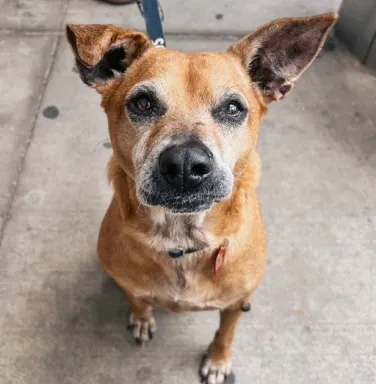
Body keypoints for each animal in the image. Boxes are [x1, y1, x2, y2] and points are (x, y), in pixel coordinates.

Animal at [67, 13, 338, 382]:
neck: (181, 238)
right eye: (142, 103)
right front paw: (141, 317)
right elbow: (137, 298)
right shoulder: (129, 282)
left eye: (233, 108)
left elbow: (226, 331)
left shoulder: (236, 303)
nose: (184, 164)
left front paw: (218, 360)